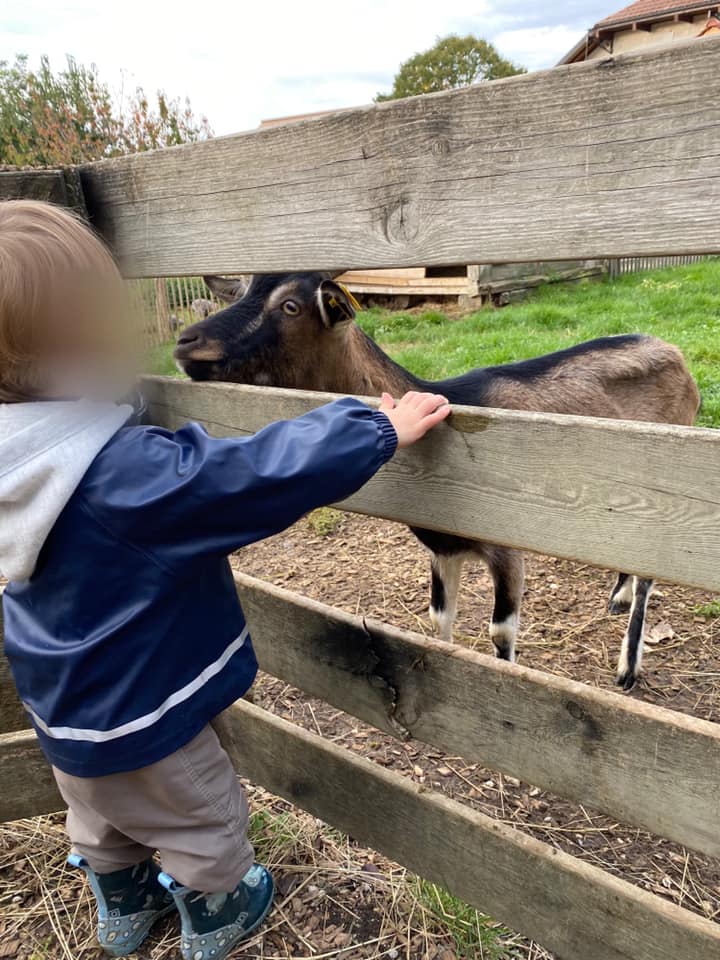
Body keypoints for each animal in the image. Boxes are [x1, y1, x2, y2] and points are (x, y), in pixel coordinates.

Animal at [172, 272, 700, 688]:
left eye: (290, 306)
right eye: (239, 290)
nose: (185, 342)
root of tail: (677, 355)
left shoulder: (508, 548)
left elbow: (500, 632)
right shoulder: (442, 548)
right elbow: (439, 618)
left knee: (652, 574)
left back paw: (627, 668)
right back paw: (617, 596)